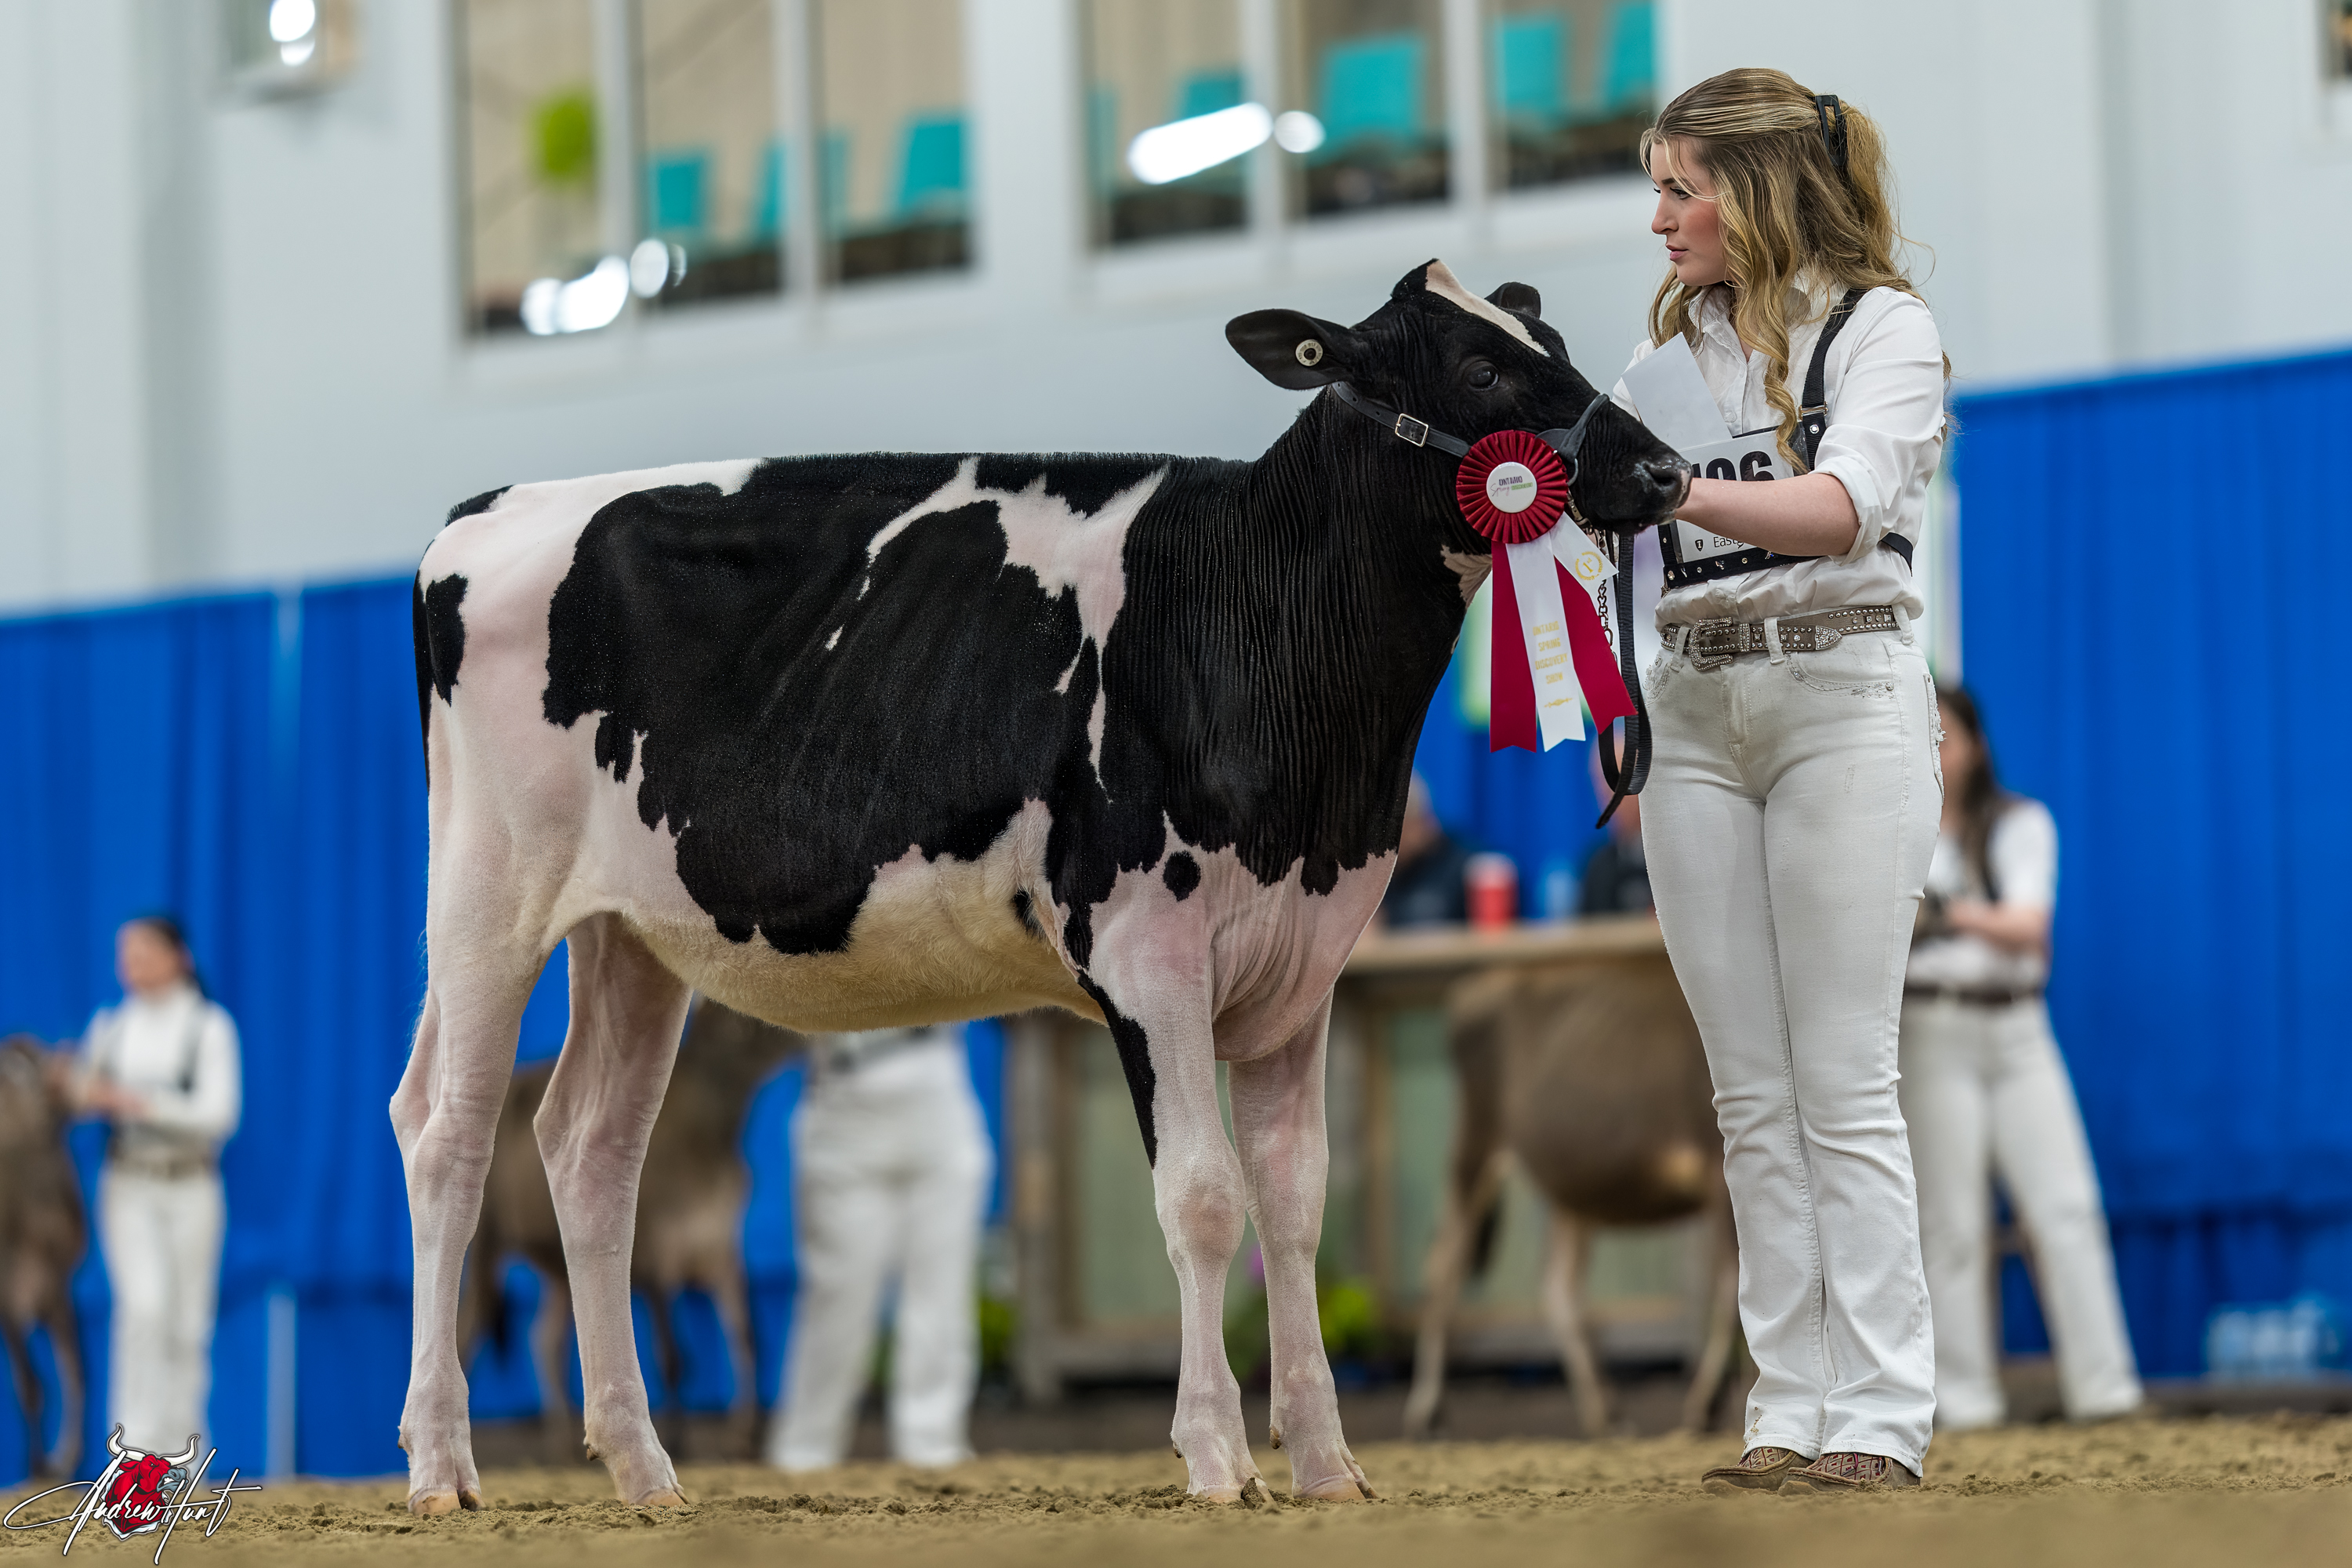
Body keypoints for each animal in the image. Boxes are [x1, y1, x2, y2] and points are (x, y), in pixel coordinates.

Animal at [459, 999, 800, 1463]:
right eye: (737, 1026)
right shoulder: (657, 1254)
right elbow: (673, 1355)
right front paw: (677, 1439)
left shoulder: (721, 1249)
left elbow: (747, 1337)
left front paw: (747, 1436)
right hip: (488, 1242)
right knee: (472, 1324)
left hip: (558, 1265)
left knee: (546, 1339)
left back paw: (563, 1441)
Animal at [1400, 955, 1740, 1442]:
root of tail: (1478, 983)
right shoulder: (1718, 1168)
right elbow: (1734, 1289)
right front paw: (1706, 1407)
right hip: (1476, 1140)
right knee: (1445, 1262)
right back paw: (1426, 1410)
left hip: (1569, 1185)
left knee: (1557, 1285)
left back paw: (1605, 1411)